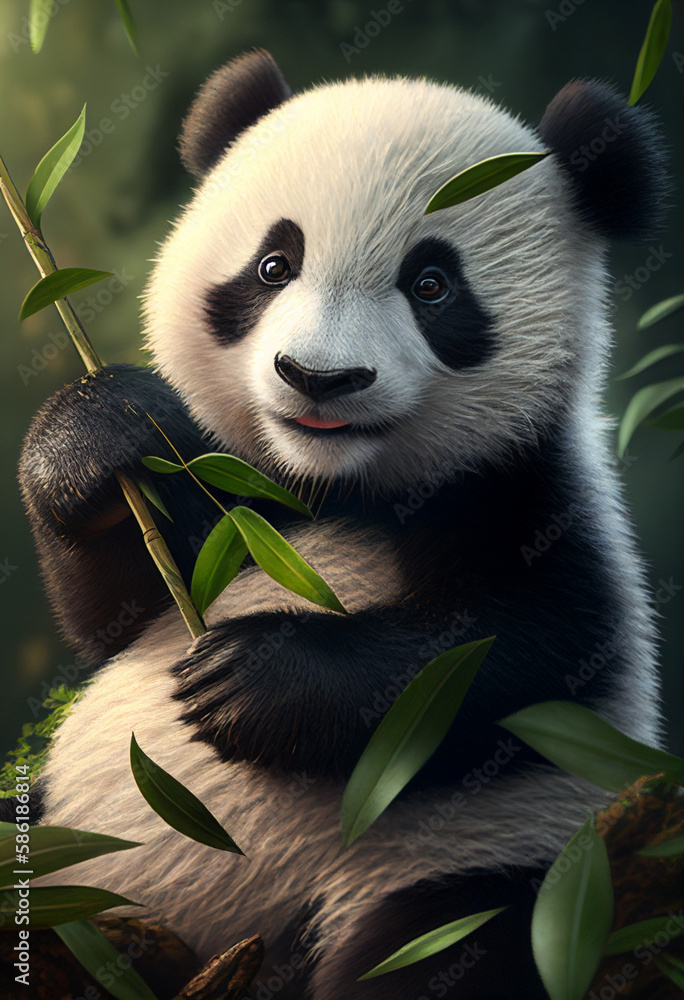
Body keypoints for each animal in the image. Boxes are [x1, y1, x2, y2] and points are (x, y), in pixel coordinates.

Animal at [17, 49, 666, 1000]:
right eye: (273, 266)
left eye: (432, 285)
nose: (318, 377)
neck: (334, 487)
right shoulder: (228, 487)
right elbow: (114, 612)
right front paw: (95, 436)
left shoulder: (529, 487)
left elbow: (528, 651)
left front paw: (253, 679)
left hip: (470, 862)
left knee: (450, 940)